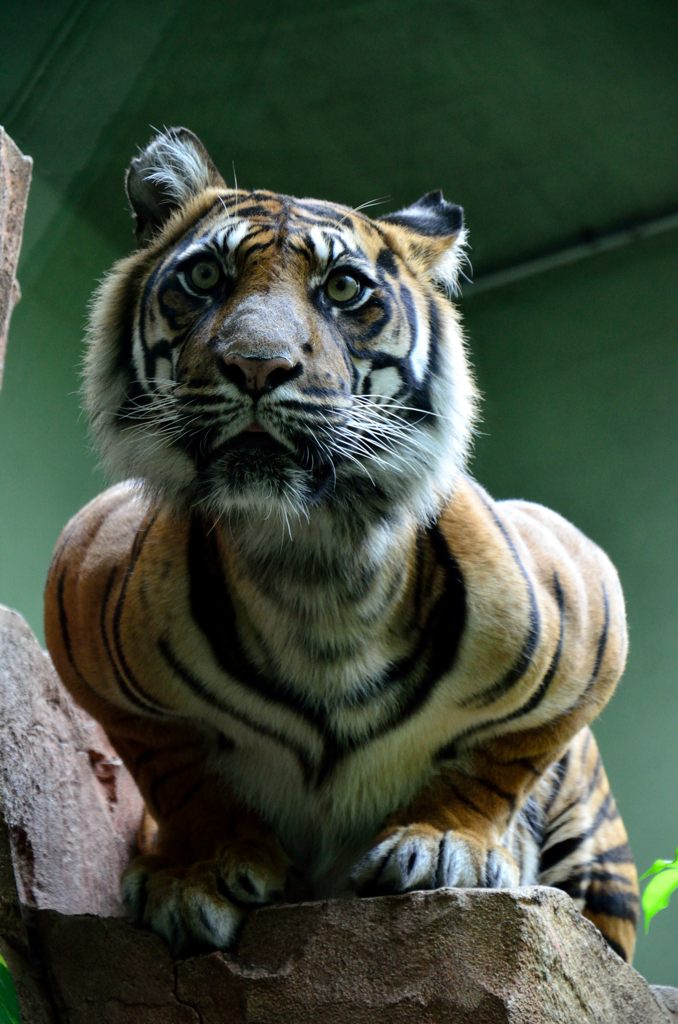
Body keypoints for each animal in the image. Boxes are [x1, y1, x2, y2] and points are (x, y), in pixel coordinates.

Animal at [44, 127, 639, 961]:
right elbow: (174, 772)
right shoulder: (82, 603)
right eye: (204, 275)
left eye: (345, 289)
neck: (312, 564)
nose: (257, 365)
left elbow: (504, 762)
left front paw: (448, 841)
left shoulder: (591, 610)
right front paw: (199, 870)